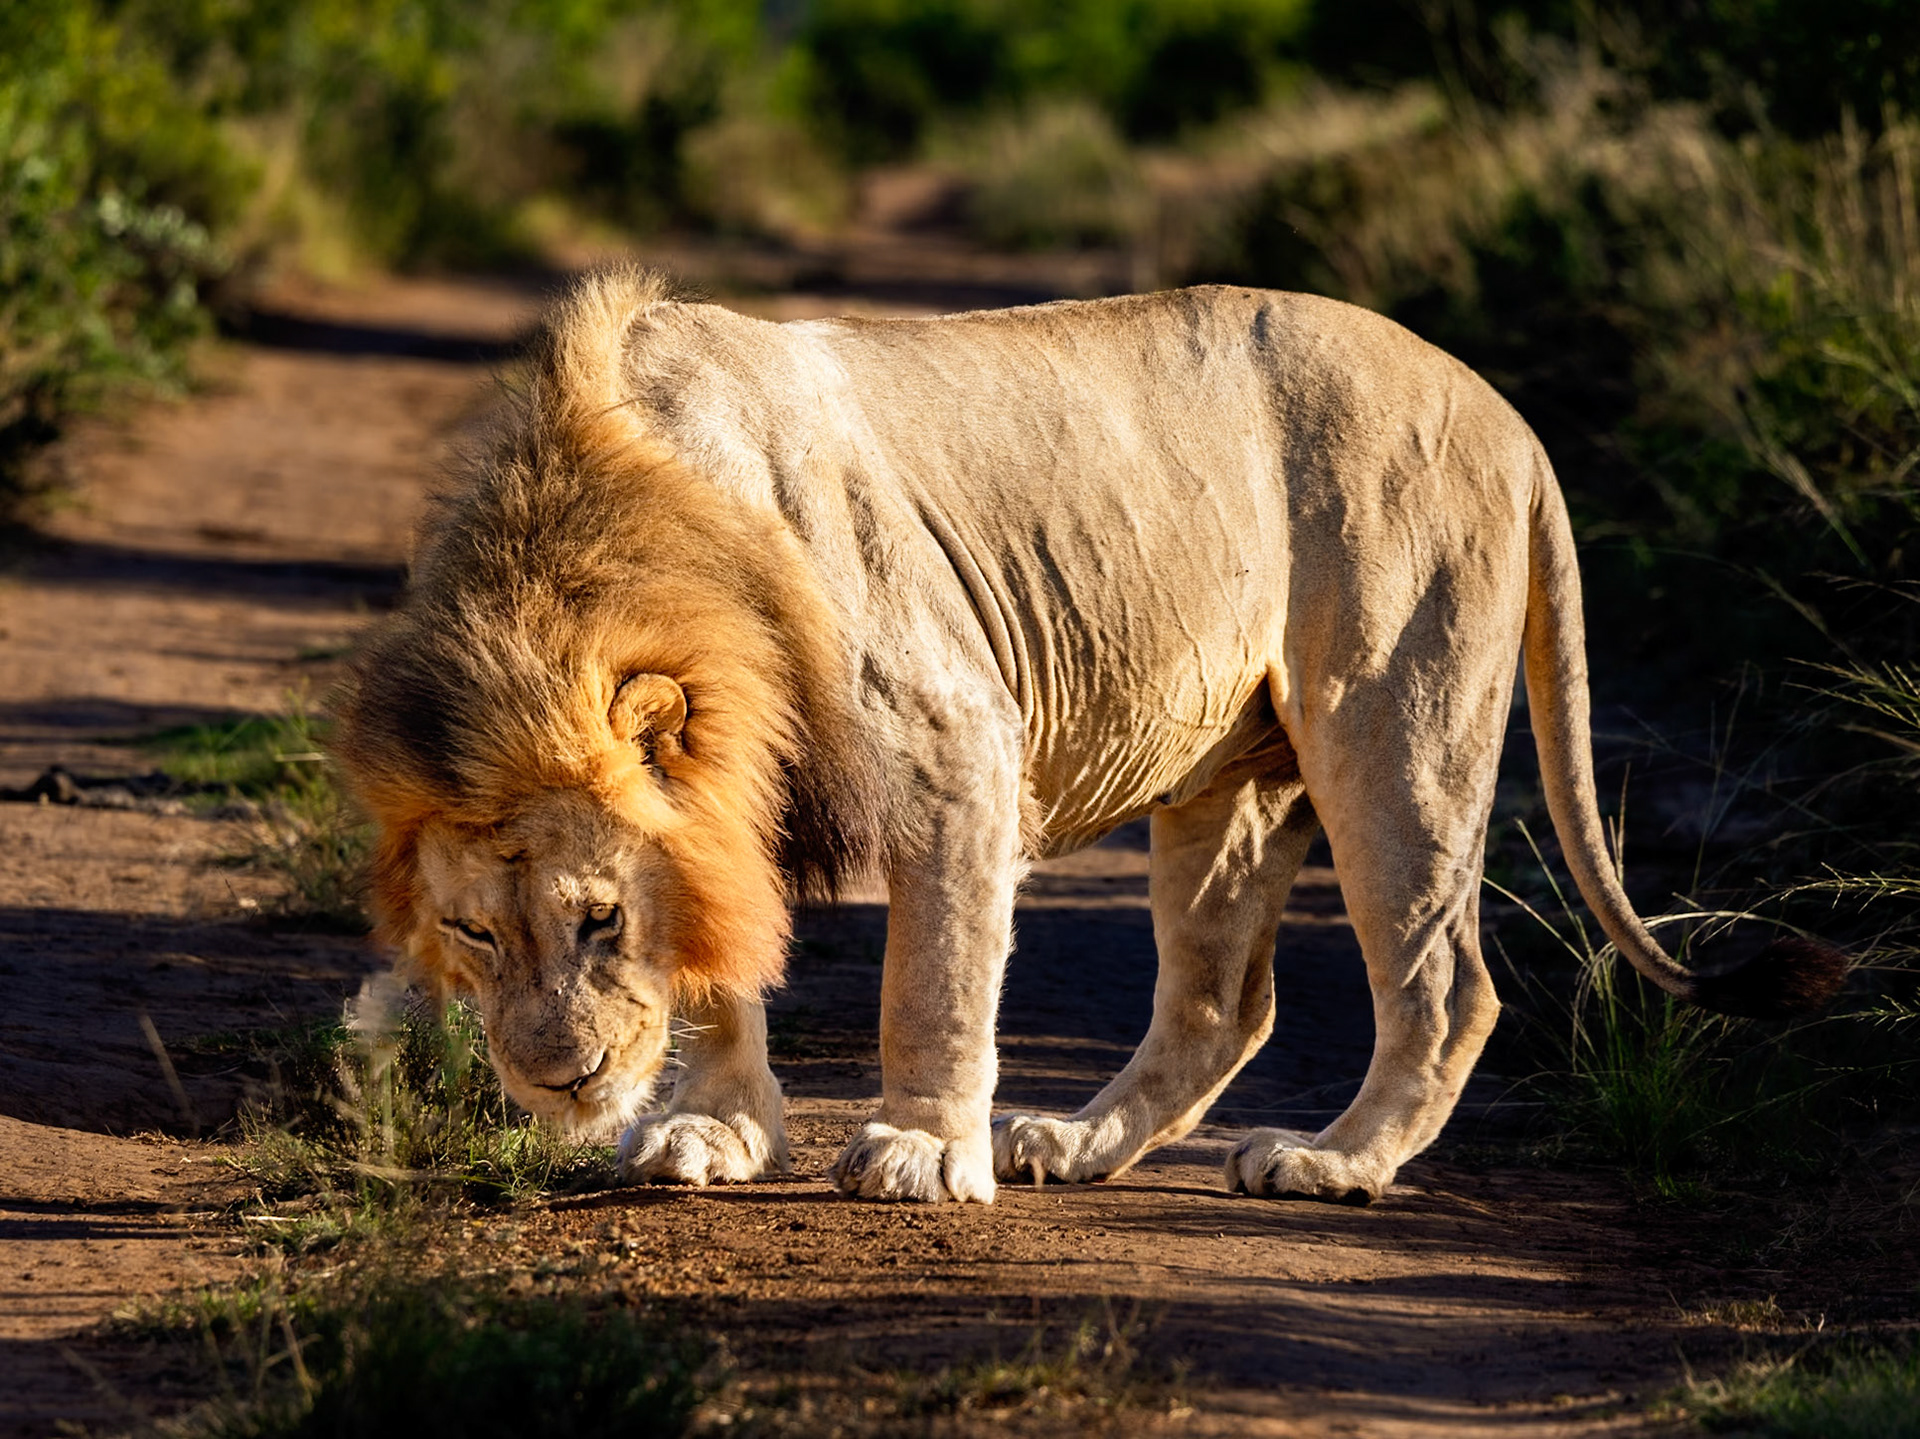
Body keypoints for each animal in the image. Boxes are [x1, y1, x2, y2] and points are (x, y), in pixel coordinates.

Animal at [334, 267, 1845, 1205]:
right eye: (473, 934)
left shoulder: (954, 740)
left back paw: (1335, 1162)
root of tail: (1506, 409)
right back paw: (1074, 1142)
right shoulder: (727, 806)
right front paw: (712, 1126)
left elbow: (932, 978)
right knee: (1229, 998)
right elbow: (719, 958)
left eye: (599, 919)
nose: (561, 1076)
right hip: (1230, 779)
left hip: (1393, 720)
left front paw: (914, 1151)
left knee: (1448, 980)